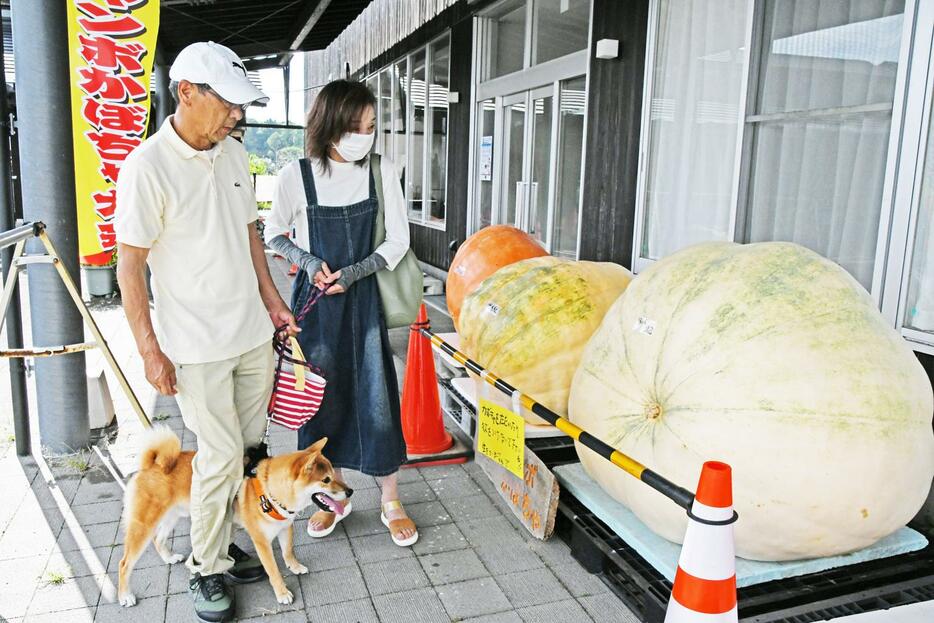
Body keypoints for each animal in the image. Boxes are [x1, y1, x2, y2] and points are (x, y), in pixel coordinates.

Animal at [117, 426, 352, 608]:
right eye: (326, 480)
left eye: (333, 473)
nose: (350, 492)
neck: (271, 492)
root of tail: (153, 464)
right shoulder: (261, 541)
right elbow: (273, 570)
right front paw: (282, 593)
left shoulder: (286, 527)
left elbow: (288, 552)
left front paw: (295, 567)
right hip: (144, 525)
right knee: (124, 563)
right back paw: (125, 596)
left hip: (171, 517)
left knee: (158, 540)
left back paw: (169, 558)